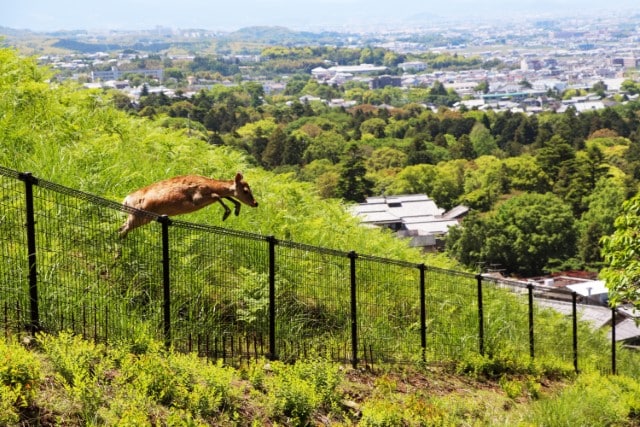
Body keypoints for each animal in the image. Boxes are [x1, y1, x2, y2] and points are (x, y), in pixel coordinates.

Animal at [117, 171, 258, 237]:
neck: (210, 185)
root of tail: (125, 200)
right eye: (246, 191)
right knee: (123, 229)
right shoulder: (197, 198)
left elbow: (225, 196)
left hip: (142, 217)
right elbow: (217, 195)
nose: (255, 203)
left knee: (122, 228)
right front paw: (226, 213)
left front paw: (236, 210)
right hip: (137, 215)